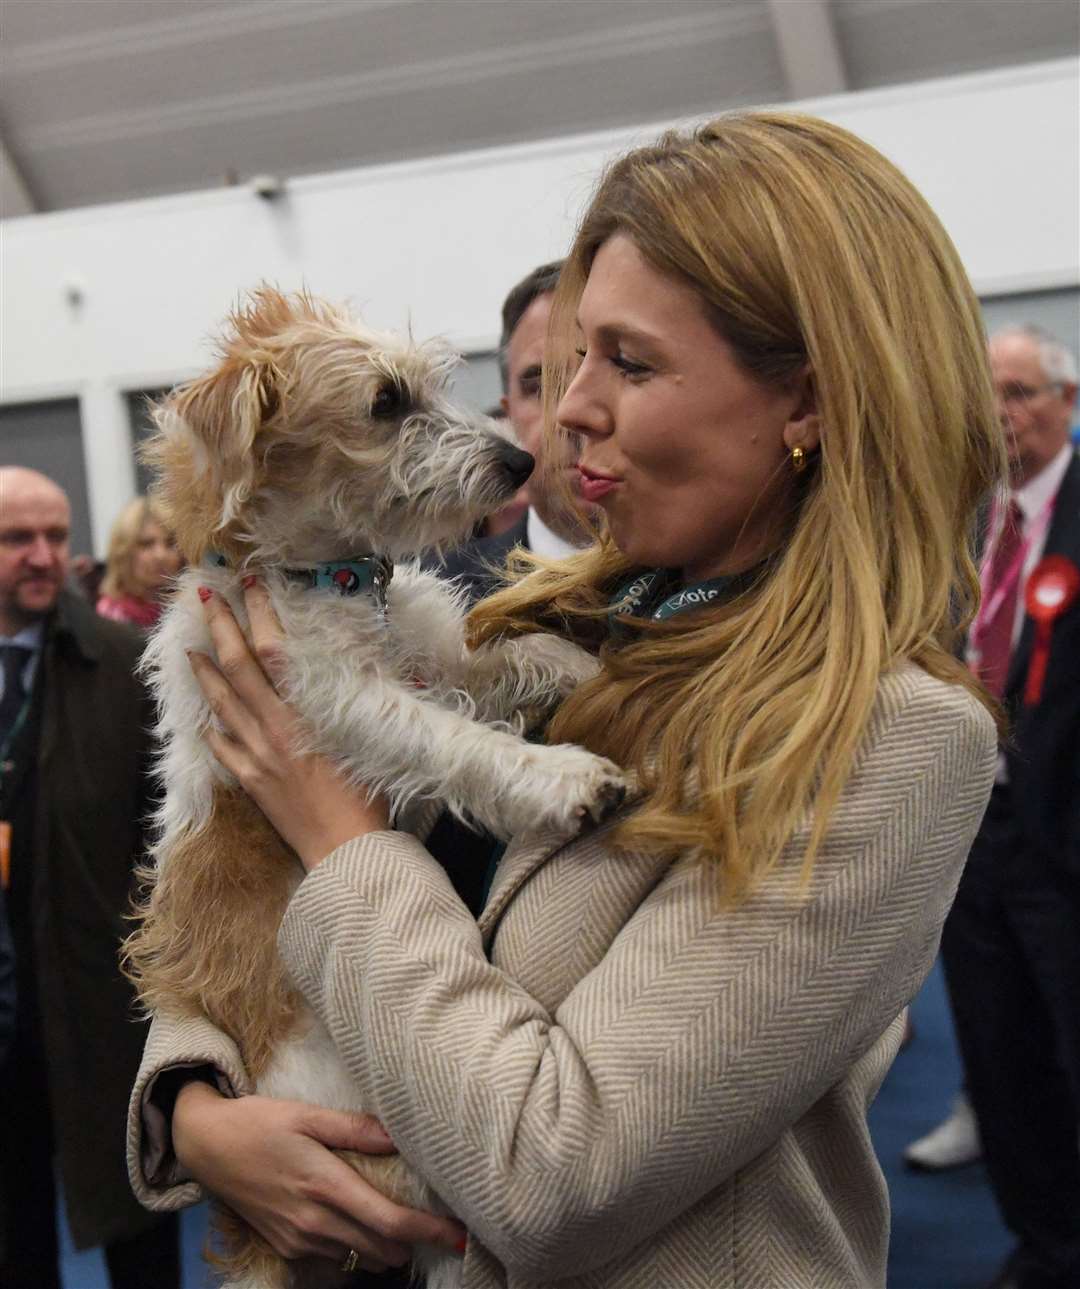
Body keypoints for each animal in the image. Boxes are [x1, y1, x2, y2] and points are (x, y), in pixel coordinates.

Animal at [128, 292, 626, 1289]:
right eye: (387, 402)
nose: (519, 460)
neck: (334, 578)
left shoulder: (439, 654)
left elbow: (527, 655)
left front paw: (604, 665)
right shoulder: (342, 702)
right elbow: (457, 738)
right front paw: (564, 777)